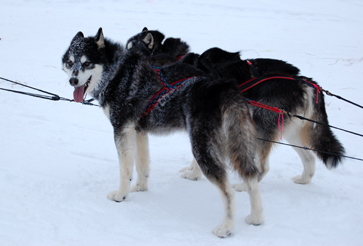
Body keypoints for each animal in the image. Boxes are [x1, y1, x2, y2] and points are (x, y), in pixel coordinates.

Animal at [61, 28, 264, 238]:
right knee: (251, 177)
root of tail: (223, 88)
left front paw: (121, 195)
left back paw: (227, 228)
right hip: (236, 144)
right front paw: (140, 188)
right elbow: (142, 166)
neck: (117, 73)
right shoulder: (138, 131)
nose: (73, 80)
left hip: (202, 148)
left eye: (87, 63)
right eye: (70, 62)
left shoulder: (121, 129)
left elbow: (125, 170)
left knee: (228, 191)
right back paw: (256, 217)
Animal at [126, 27, 346, 188]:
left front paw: (194, 174)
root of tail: (304, 81)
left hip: (260, 130)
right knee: (309, 159)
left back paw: (244, 187)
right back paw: (302, 180)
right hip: (290, 131)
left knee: (263, 168)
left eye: (131, 49)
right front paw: (191, 170)